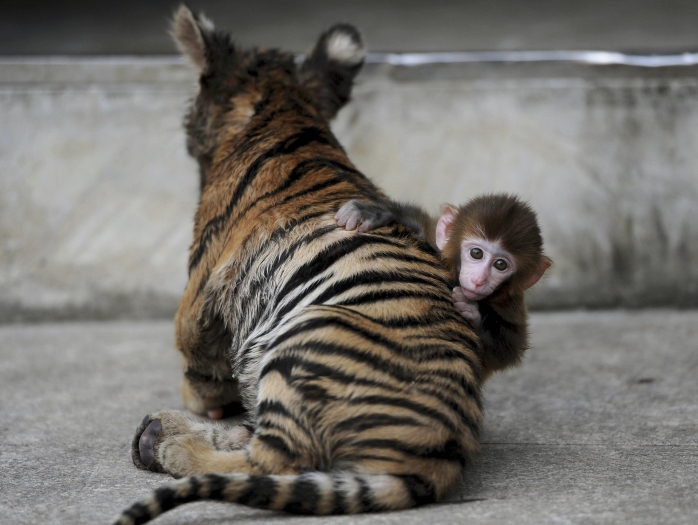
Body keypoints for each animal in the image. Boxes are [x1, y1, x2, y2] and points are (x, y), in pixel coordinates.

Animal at [335, 194, 552, 379]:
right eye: (476, 253)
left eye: (500, 265)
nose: (479, 280)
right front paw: (377, 212)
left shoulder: (510, 304)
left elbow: (507, 352)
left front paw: (472, 312)